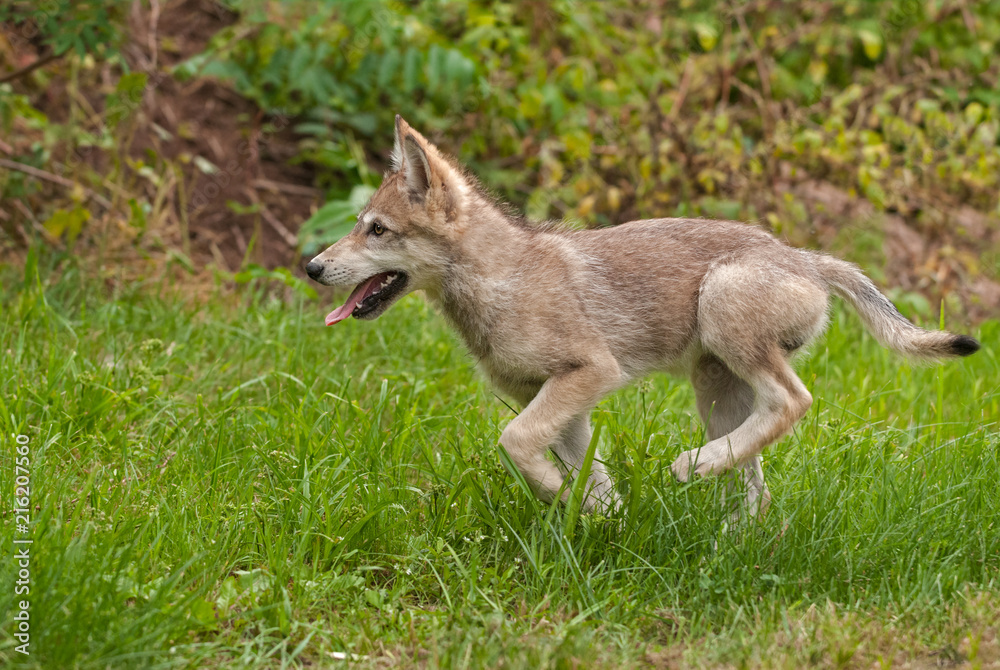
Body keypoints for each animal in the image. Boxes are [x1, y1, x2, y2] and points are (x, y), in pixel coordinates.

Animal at [305, 115, 980, 523]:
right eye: (358, 225)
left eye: (377, 230)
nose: (311, 267)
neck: (502, 281)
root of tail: (807, 258)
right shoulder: (561, 402)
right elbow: (589, 474)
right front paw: (605, 521)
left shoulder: (588, 374)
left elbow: (515, 443)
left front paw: (561, 499)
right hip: (718, 387)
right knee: (759, 477)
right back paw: (733, 532)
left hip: (723, 311)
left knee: (795, 402)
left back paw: (693, 467)